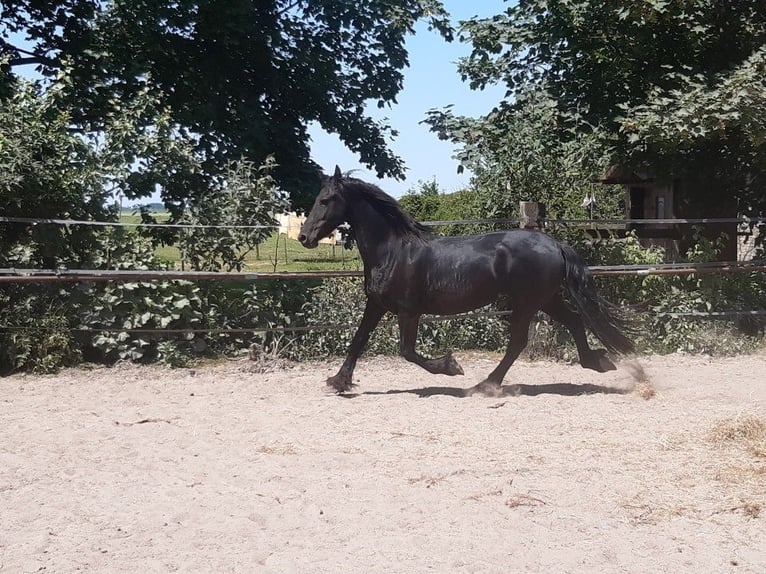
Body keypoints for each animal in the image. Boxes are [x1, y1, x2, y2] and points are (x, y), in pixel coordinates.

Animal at [300, 168, 636, 396]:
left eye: (326, 200)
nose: (304, 237)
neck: (393, 251)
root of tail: (554, 244)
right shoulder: (376, 304)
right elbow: (358, 340)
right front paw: (338, 382)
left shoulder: (409, 311)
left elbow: (407, 352)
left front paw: (452, 367)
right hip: (547, 299)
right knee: (575, 322)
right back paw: (598, 361)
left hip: (527, 302)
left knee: (519, 341)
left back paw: (485, 385)